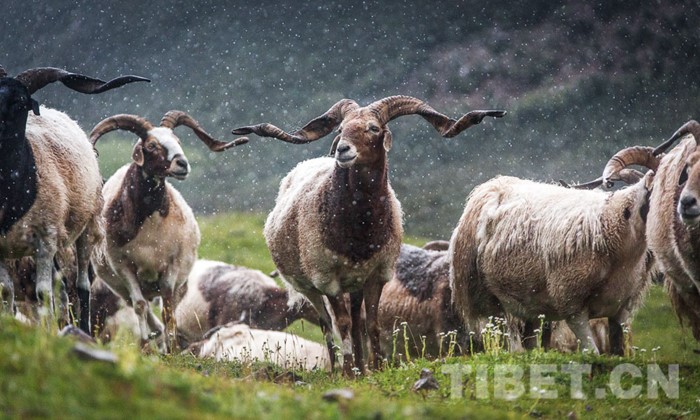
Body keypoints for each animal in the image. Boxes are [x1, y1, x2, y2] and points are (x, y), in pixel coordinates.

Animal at [0, 65, 148, 333]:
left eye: (21, 103)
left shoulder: (44, 238)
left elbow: (43, 293)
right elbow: (7, 292)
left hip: (85, 228)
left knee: (80, 286)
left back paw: (82, 329)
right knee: (60, 290)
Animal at [89, 111, 248, 351]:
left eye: (178, 141)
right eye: (152, 145)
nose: (182, 164)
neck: (148, 233)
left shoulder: (171, 267)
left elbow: (168, 310)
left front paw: (171, 349)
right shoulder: (124, 267)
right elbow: (140, 306)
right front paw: (145, 346)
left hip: (181, 281)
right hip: (121, 288)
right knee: (142, 306)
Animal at [233, 96, 505, 373]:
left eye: (373, 128)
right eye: (341, 129)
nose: (342, 150)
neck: (358, 231)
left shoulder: (377, 275)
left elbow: (372, 324)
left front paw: (375, 368)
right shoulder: (328, 278)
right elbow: (341, 324)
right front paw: (348, 373)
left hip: (354, 284)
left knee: (356, 322)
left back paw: (361, 367)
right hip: (310, 286)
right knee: (327, 325)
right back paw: (337, 369)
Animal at [449, 171, 655, 355]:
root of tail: (492, 186)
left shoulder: (622, 308)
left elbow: (619, 352)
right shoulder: (571, 301)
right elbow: (591, 351)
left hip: (529, 301)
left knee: (529, 340)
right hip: (490, 297)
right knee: (511, 341)